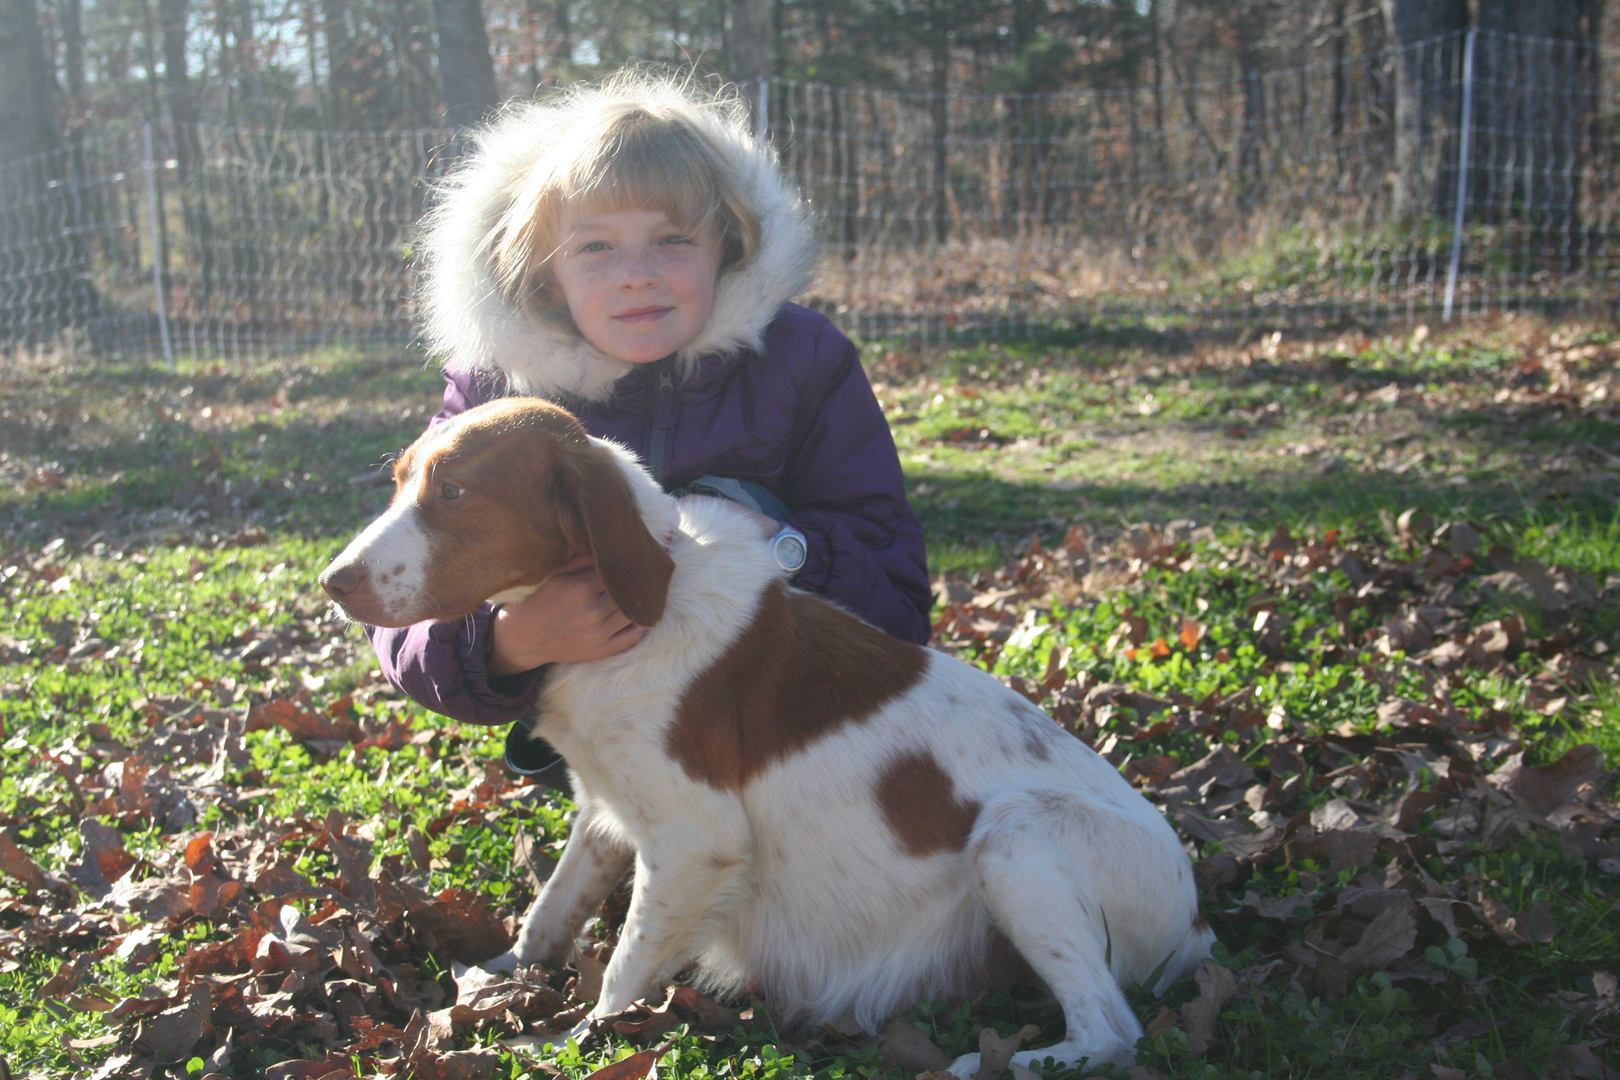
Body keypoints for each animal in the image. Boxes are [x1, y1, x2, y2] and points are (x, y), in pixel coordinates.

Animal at [315, 399, 1211, 1080]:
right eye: (401, 483)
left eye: (455, 490)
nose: (333, 581)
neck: (641, 606)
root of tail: (1193, 919)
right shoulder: (607, 812)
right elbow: (547, 917)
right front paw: (498, 985)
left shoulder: (693, 842)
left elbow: (621, 973)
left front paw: (569, 1044)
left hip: (1014, 836)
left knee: (1111, 1029)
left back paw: (999, 1063)